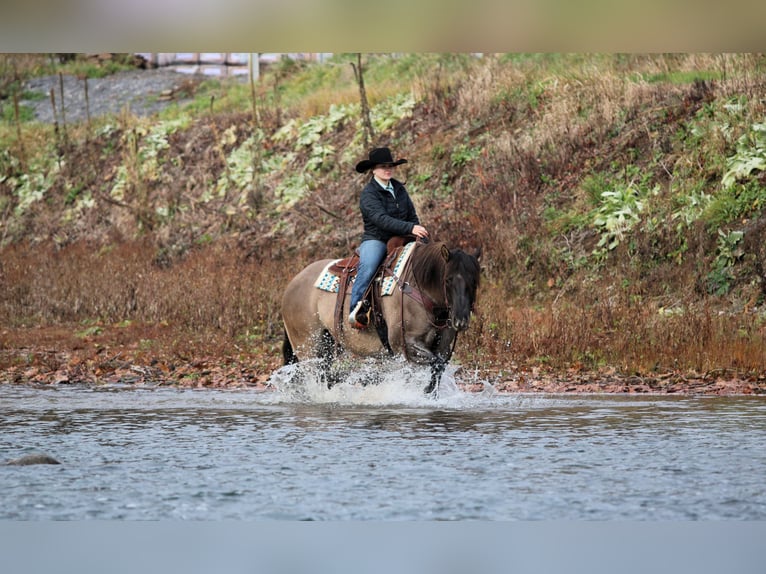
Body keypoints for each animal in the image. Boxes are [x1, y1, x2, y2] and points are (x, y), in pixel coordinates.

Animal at [280, 238, 481, 395]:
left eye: (474, 281)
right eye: (448, 280)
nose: (460, 321)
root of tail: (292, 284)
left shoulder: (443, 347)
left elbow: (437, 368)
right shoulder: (405, 344)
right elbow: (431, 364)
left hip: (325, 344)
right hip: (308, 348)